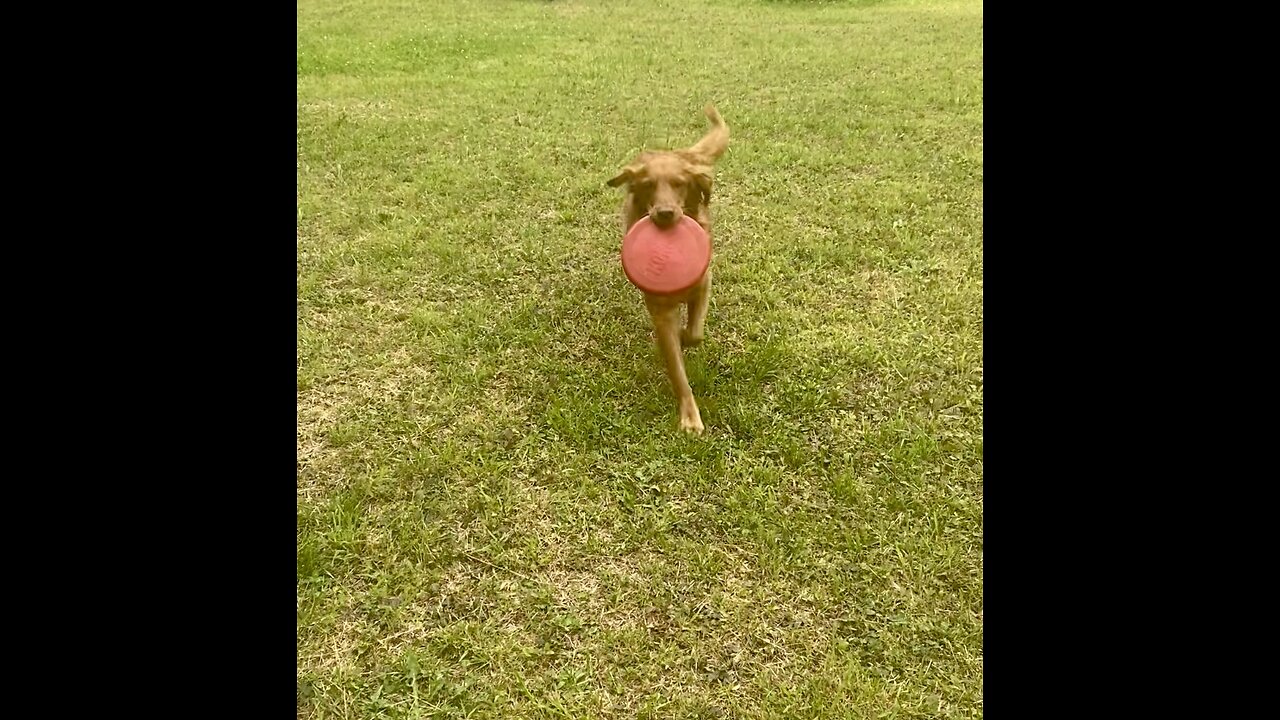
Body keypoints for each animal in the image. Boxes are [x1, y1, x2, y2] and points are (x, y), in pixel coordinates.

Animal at [604, 104, 727, 435]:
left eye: (680, 184)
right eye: (648, 186)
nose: (665, 213)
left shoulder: (704, 281)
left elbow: (695, 332)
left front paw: (687, 335)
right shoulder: (660, 310)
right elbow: (677, 370)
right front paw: (690, 416)